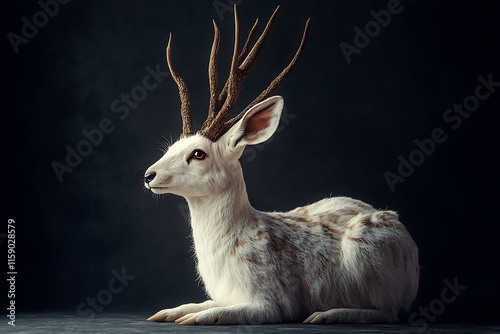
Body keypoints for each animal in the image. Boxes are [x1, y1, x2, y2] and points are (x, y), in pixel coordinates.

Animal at [144, 4, 418, 324]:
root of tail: (411, 253)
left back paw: (324, 315)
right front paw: (166, 313)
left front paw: (190, 320)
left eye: (198, 154)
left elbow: (220, 313)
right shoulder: (224, 295)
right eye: (172, 147)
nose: (149, 175)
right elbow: (200, 304)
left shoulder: (270, 303)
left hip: (365, 256)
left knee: (387, 312)